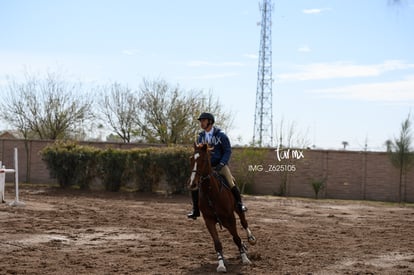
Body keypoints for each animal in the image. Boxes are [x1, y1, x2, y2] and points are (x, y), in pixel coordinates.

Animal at [190, 144, 256, 274]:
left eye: (203, 160)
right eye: (191, 159)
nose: (193, 183)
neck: (212, 193)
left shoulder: (230, 218)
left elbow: (236, 238)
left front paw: (245, 259)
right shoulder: (209, 221)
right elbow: (217, 243)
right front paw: (221, 264)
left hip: (237, 211)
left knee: (244, 223)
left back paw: (250, 239)